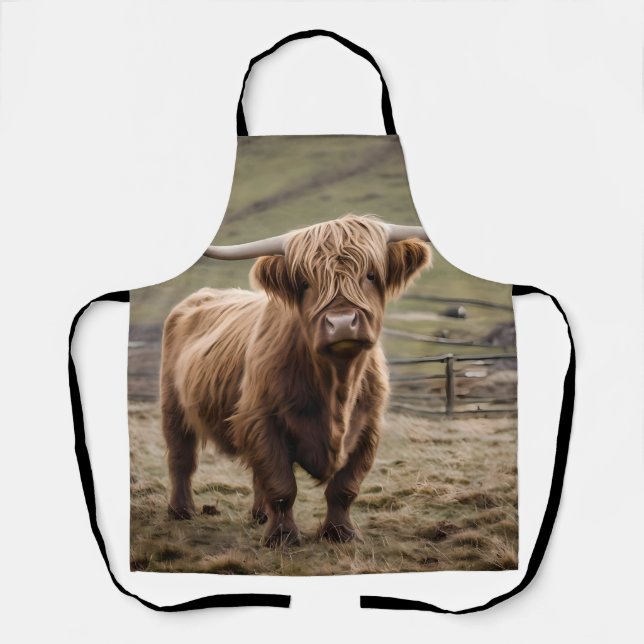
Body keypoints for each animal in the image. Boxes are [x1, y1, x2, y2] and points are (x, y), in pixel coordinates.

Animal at [160, 214, 431, 546]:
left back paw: (259, 515)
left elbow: (344, 487)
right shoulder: (263, 420)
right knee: (181, 459)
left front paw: (340, 533)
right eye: (305, 283)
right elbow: (281, 485)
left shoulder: (368, 428)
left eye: (369, 274)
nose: (342, 323)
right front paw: (282, 537)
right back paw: (181, 510)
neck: (337, 387)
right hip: (173, 406)